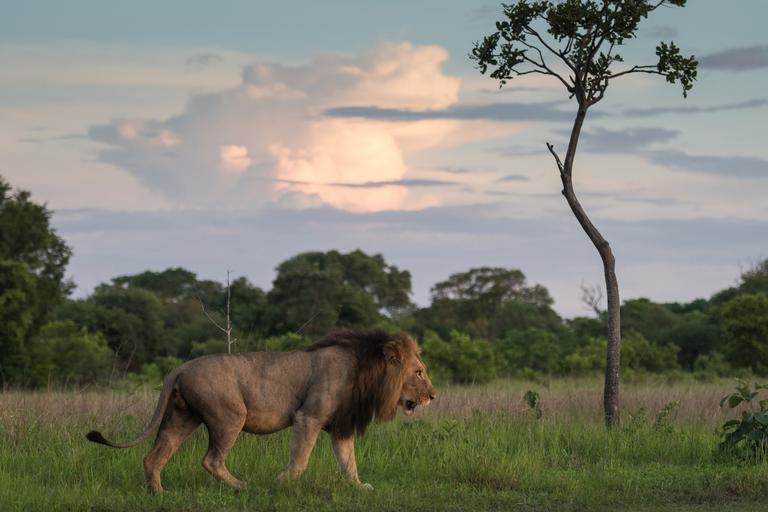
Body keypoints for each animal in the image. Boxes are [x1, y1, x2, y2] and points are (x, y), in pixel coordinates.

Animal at [86, 330, 436, 493]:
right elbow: (301, 458)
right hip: (229, 415)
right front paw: (282, 483)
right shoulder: (308, 416)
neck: (367, 372)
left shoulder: (340, 426)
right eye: (419, 372)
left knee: (153, 457)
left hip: (181, 418)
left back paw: (160, 495)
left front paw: (359, 487)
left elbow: (348, 462)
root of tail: (180, 367)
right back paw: (243, 487)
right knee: (211, 460)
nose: (433, 395)